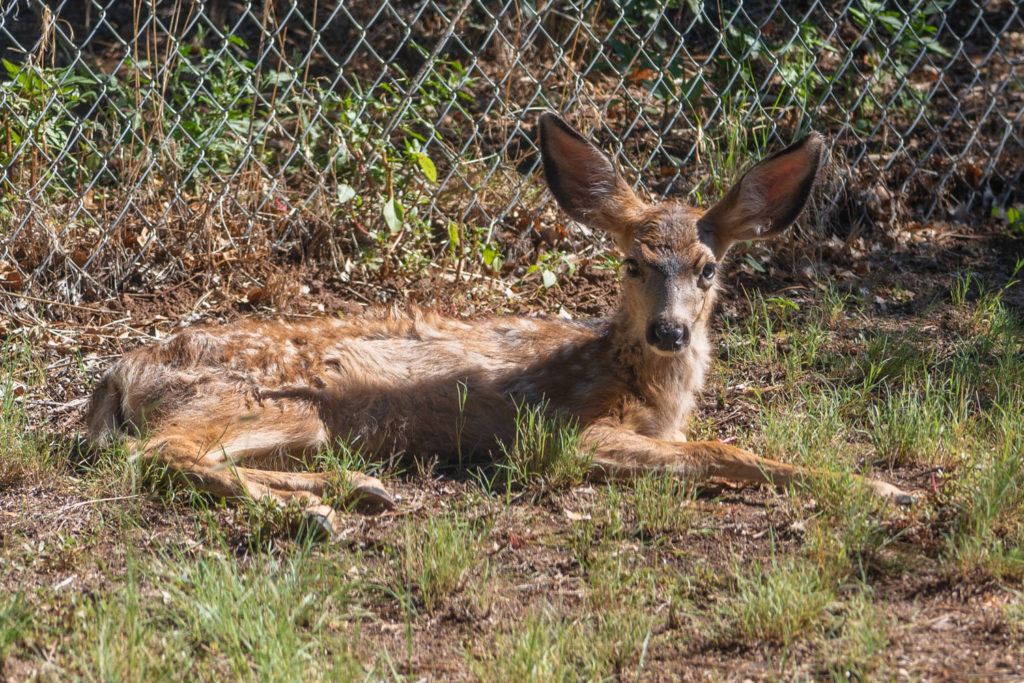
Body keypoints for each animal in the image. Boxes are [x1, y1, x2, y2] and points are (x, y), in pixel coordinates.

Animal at [83, 113, 909, 540]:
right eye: (634, 262)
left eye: (708, 268)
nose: (671, 332)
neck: (644, 386)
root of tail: (119, 371)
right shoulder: (571, 433)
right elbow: (723, 450)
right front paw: (880, 485)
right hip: (252, 399)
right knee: (157, 456)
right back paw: (317, 510)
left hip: (296, 423)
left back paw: (357, 491)